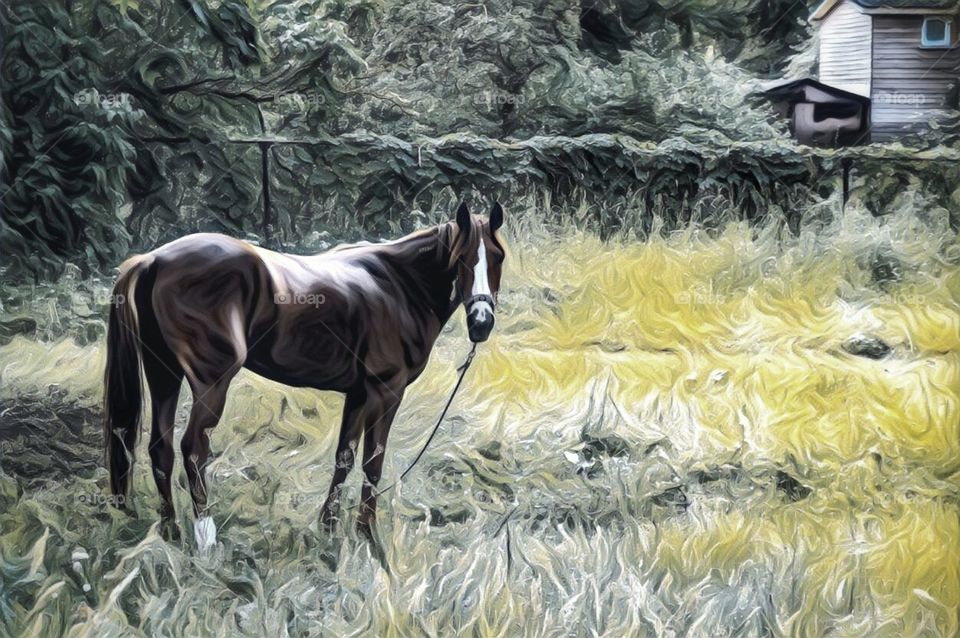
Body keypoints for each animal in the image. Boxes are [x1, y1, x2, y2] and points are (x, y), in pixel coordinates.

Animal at [103, 201, 505, 550]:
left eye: (497, 257)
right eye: (462, 258)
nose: (481, 323)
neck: (398, 285)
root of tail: (152, 259)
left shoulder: (358, 394)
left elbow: (344, 457)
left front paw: (329, 528)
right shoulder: (385, 392)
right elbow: (372, 462)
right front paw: (367, 536)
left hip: (164, 374)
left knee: (161, 449)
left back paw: (170, 533)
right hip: (210, 381)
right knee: (193, 449)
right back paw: (205, 538)